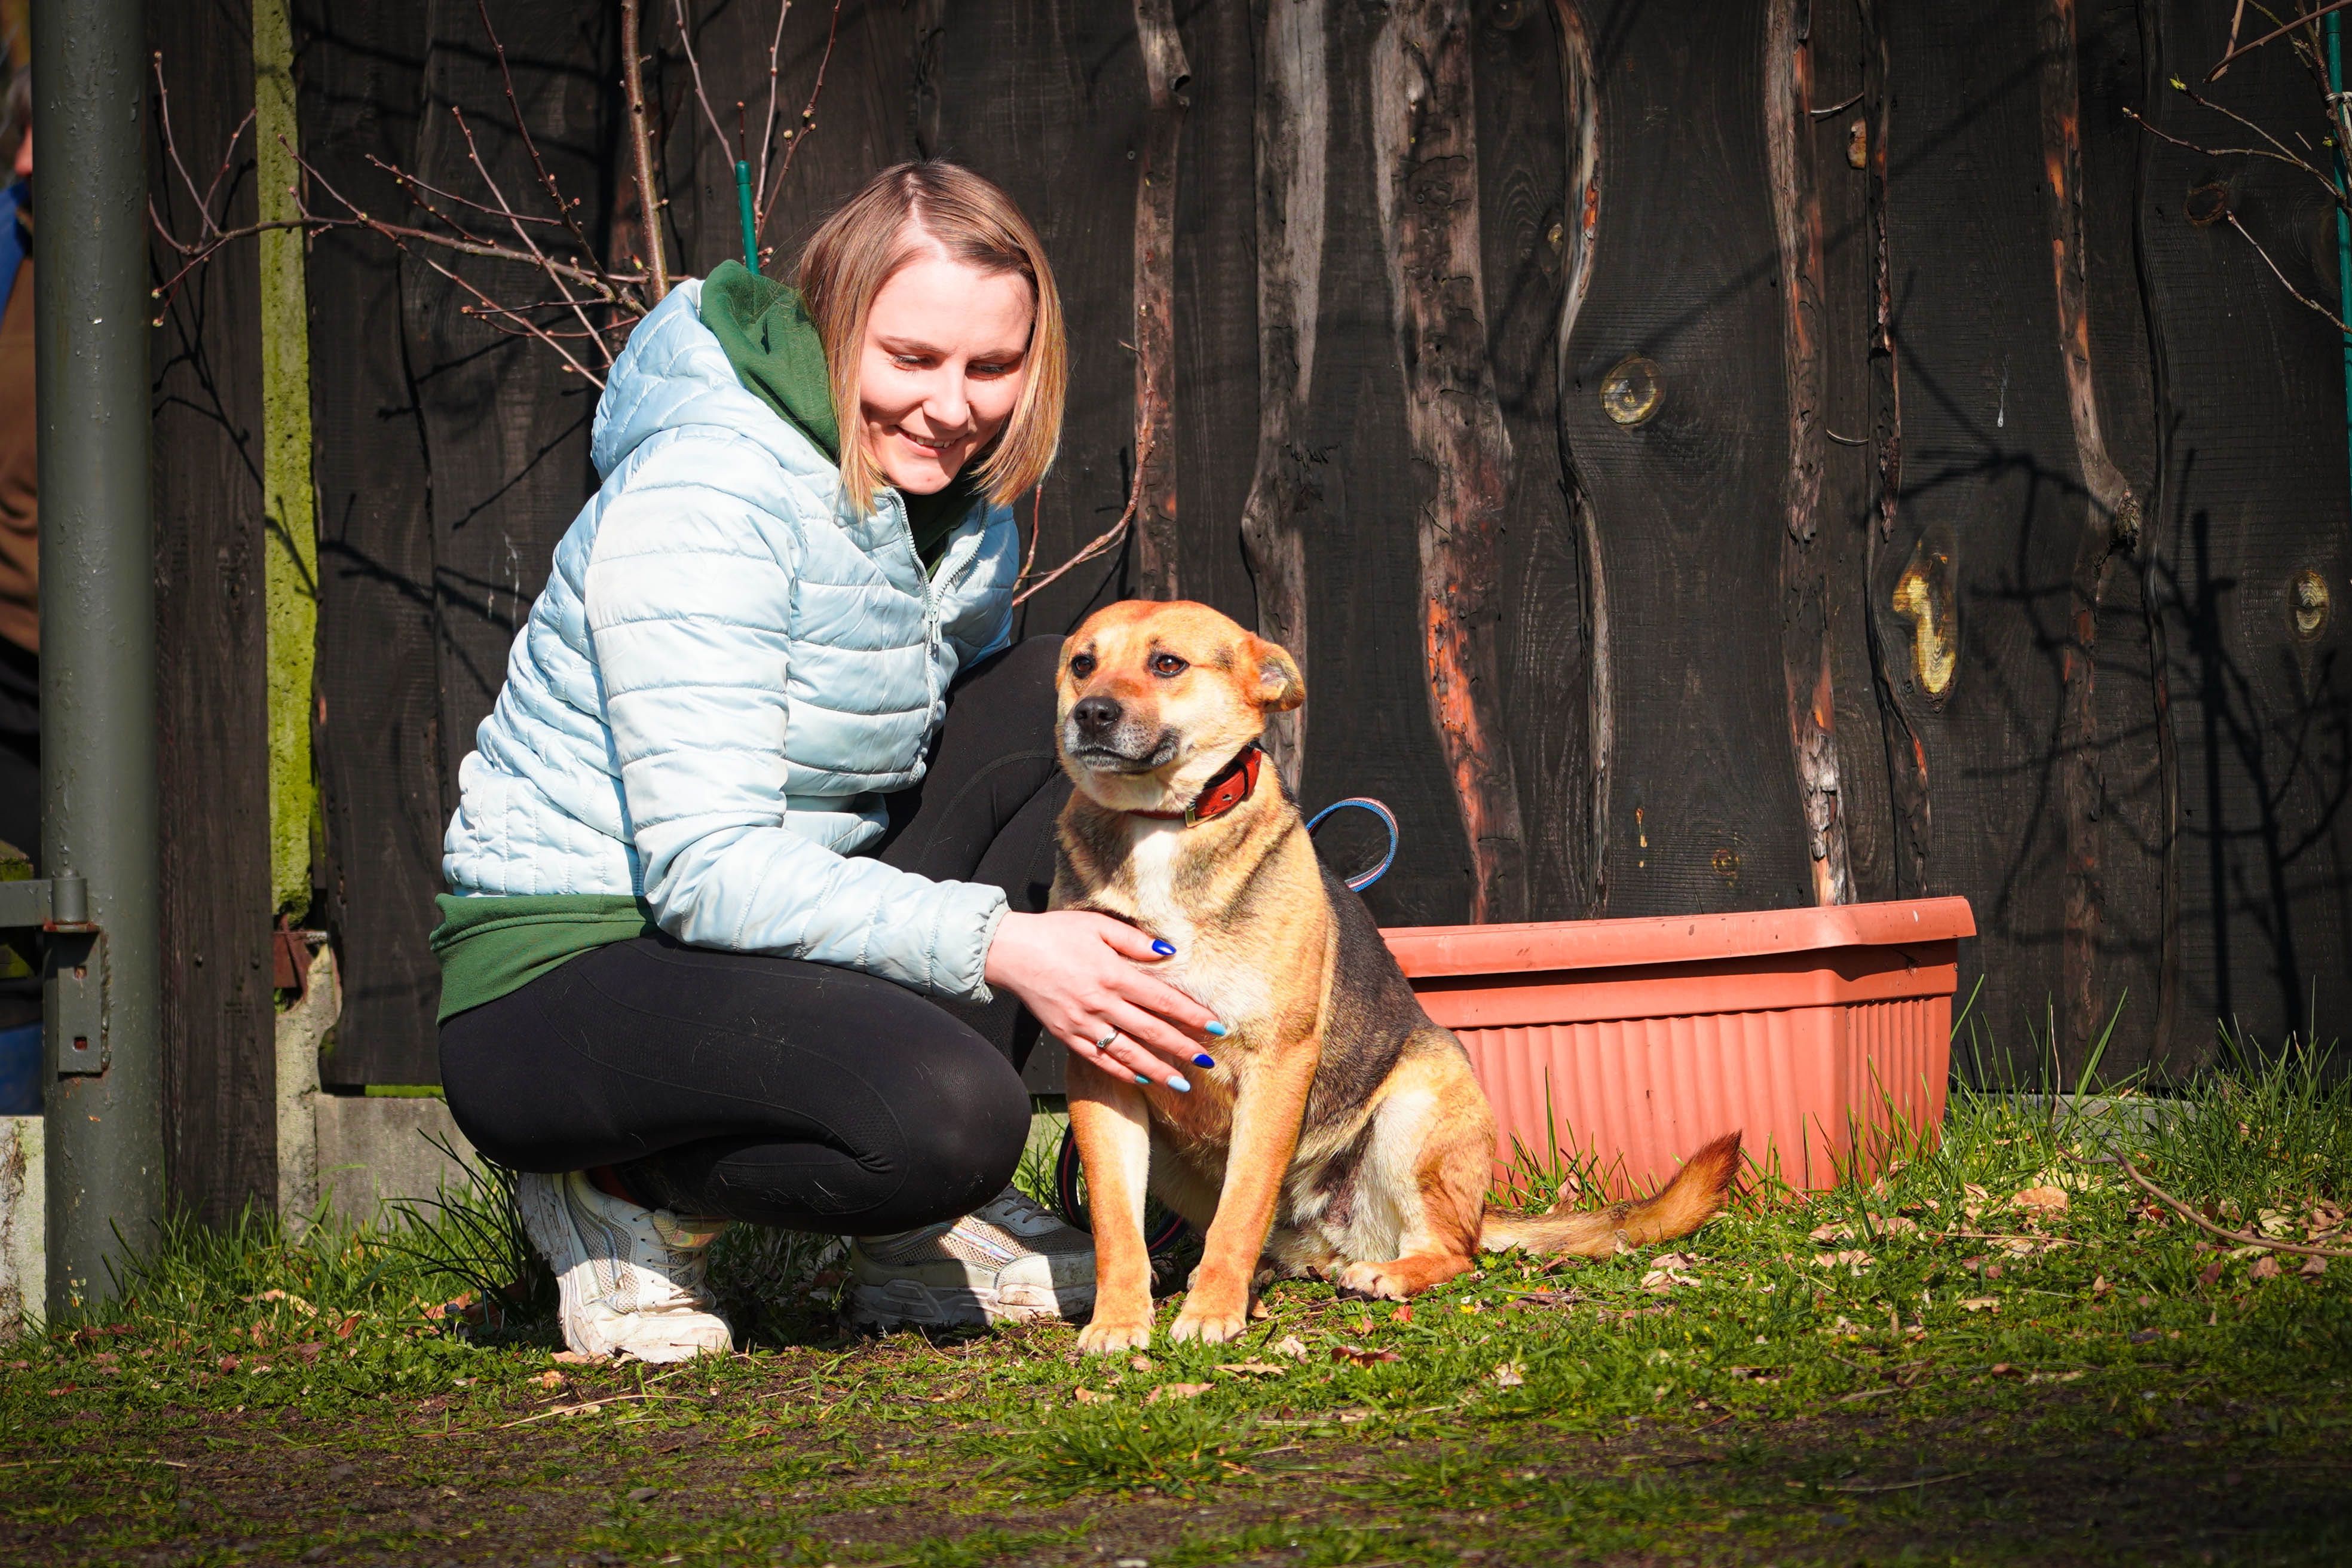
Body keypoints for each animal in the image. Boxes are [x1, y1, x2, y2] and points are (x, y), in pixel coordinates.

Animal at [1054, 602, 1750, 1354]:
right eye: (1083, 663)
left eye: (1167, 663)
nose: (1091, 714)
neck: (1159, 824)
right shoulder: (1102, 1069)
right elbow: (1116, 1224)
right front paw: (1118, 1319)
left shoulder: (1276, 1063)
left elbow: (1240, 1208)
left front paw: (1210, 1309)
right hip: (1182, 1163)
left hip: (1416, 1111)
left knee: (1453, 1253)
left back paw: (1385, 1272)